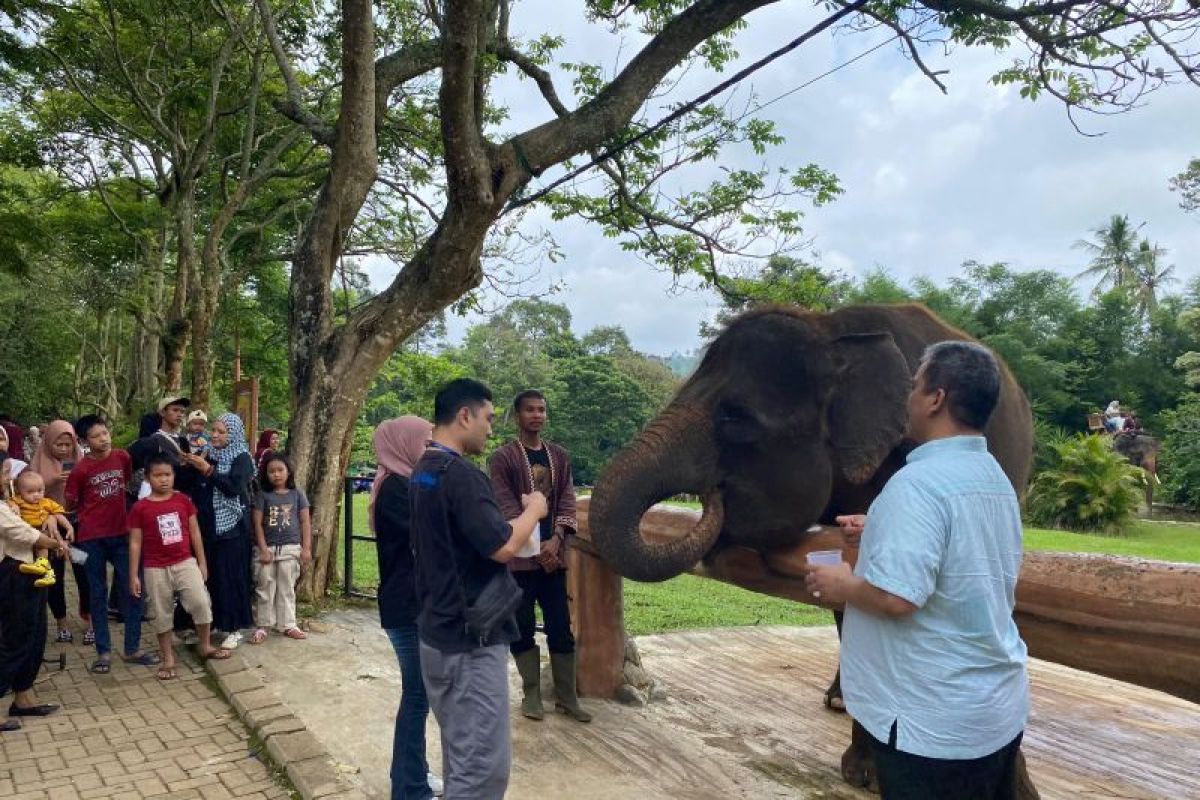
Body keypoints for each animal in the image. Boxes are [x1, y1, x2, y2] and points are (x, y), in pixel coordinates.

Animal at [585, 303, 1036, 796]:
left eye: (735, 418)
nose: (712, 498)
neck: (831, 329)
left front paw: (866, 775)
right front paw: (864, 766)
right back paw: (837, 700)